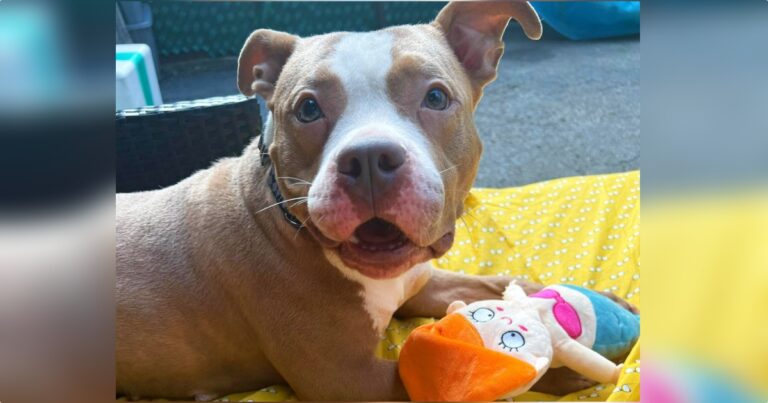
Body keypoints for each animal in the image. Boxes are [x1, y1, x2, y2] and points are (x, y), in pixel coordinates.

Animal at [114, 2, 632, 400]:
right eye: (307, 108)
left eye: (436, 97)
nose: (367, 159)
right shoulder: (355, 380)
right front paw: (564, 369)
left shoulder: (420, 283)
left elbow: (492, 282)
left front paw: (591, 303)